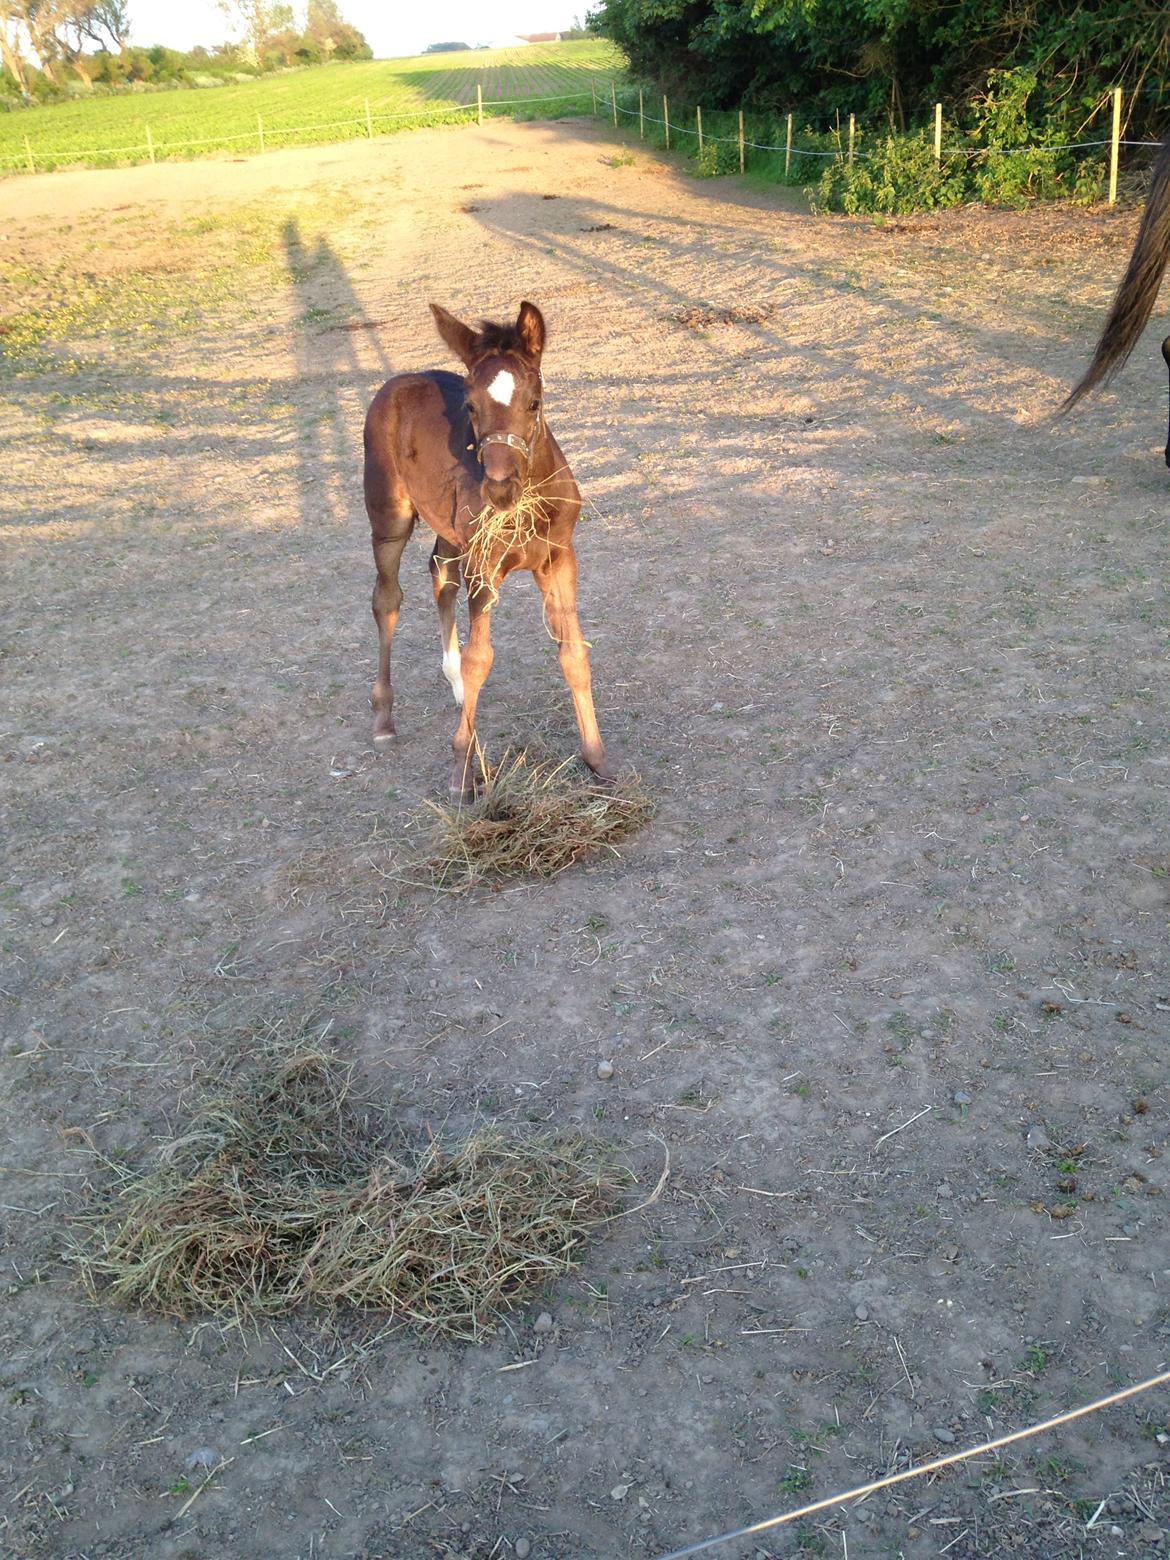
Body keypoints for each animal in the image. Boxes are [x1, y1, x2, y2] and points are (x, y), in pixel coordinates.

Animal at [365, 299, 614, 798]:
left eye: (534, 402)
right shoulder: (484, 568)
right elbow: (481, 658)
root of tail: (396, 382)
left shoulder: (560, 558)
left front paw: (597, 759)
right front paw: (463, 772)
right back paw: (385, 719)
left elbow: (573, 653)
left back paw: (456, 685)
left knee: (440, 574)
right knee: (387, 599)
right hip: (389, 518)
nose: (500, 490)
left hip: (448, 528)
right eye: (470, 406)